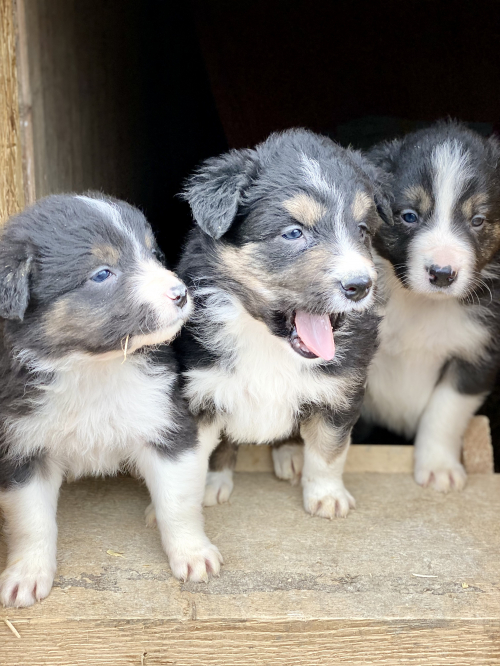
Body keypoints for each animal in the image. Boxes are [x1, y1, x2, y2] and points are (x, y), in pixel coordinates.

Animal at [0, 193, 221, 608]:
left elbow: (177, 503)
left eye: (153, 254)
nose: (182, 293)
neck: (94, 368)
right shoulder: (21, 447)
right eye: (102, 274)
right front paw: (26, 575)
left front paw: (193, 554)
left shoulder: (166, 424)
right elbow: (31, 521)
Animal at [362, 122, 500, 490]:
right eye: (409, 216)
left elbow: (445, 410)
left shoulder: (478, 355)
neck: (420, 303)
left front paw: (438, 466)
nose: (441, 273)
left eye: (478, 220)